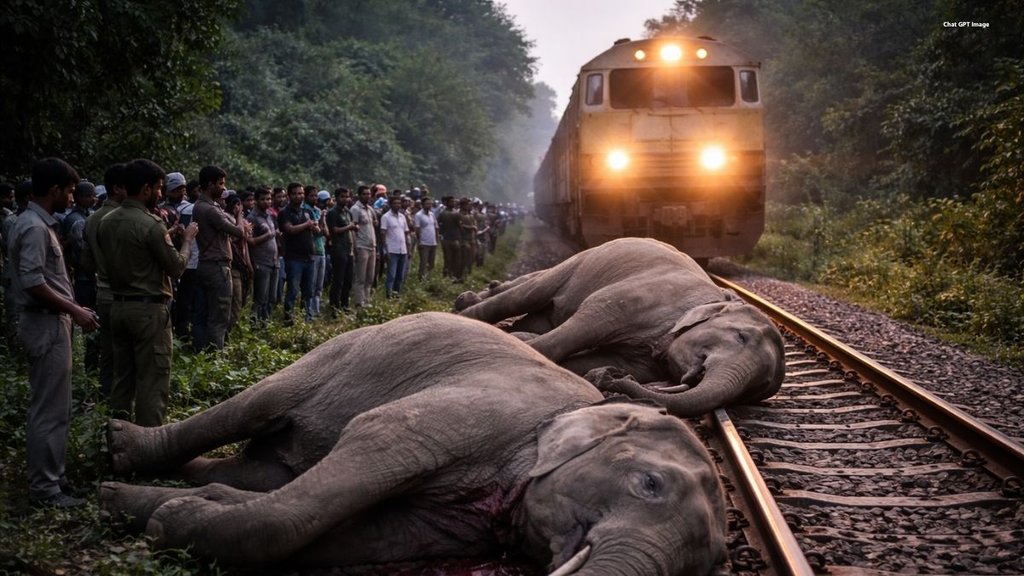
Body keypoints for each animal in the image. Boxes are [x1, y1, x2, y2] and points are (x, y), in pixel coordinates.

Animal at [100, 312, 728, 576]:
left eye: (711, 563)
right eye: (649, 484)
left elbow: (375, 534)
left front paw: (170, 509)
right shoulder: (475, 416)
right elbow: (374, 439)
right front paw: (166, 521)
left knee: (264, 470)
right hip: (341, 352)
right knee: (255, 406)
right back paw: (117, 449)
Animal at [454, 238, 785, 417]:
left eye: (757, 388)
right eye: (741, 337)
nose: (612, 379)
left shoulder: (643, 361)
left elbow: (586, 360)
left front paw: (598, 371)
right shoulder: (634, 299)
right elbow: (585, 324)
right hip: (582, 262)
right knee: (529, 292)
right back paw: (465, 306)